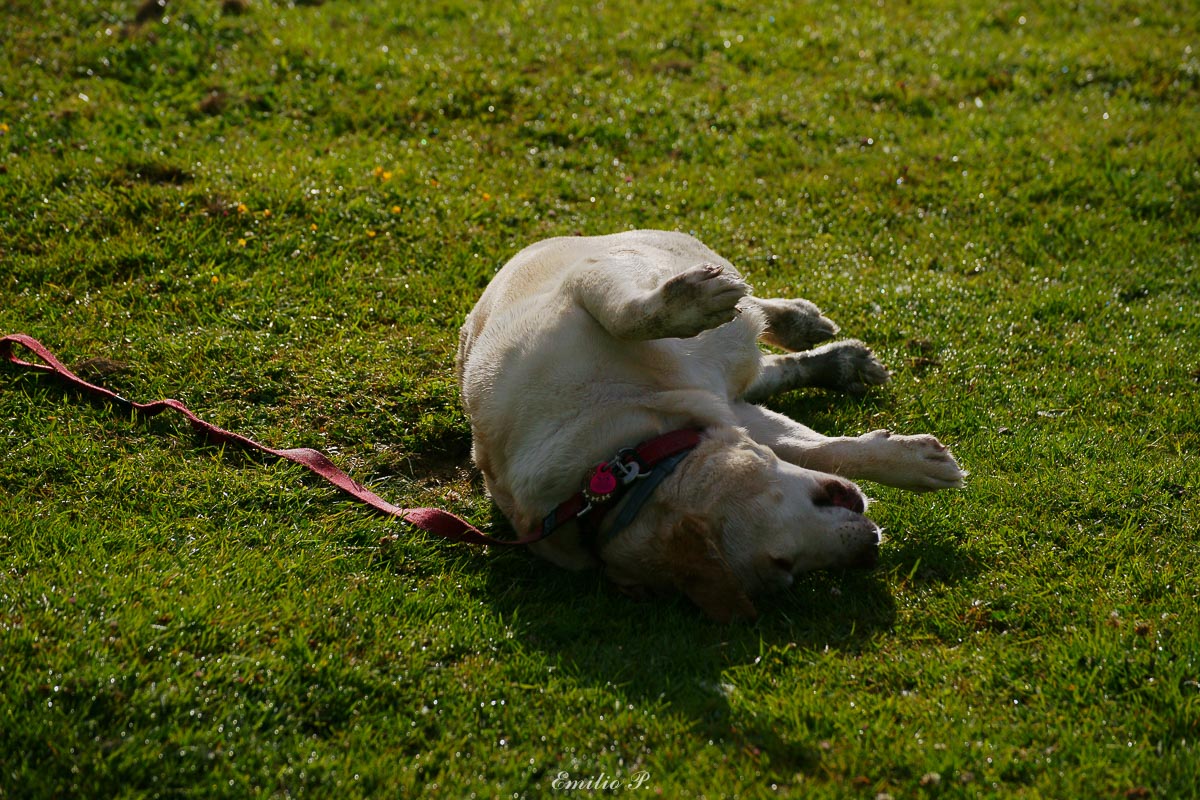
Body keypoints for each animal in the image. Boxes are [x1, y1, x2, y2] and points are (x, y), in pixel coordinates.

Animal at [456, 230, 964, 622]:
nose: (871, 549)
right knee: (770, 367)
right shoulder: (729, 413)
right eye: (786, 569)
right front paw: (914, 462)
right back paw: (837, 363)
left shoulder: (584, 284)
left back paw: (791, 318)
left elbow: (627, 317)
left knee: (752, 309)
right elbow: (816, 450)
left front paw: (686, 303)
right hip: (741, 381)